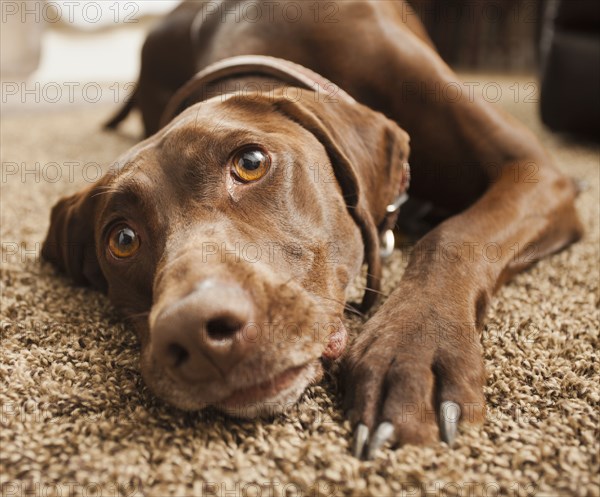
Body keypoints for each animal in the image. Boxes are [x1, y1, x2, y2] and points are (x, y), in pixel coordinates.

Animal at [41, 0, 580, 460]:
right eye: (122, 240)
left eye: (251, 163)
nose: (195, 333)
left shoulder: (533, 170)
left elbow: (449, 238)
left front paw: (412, 354)